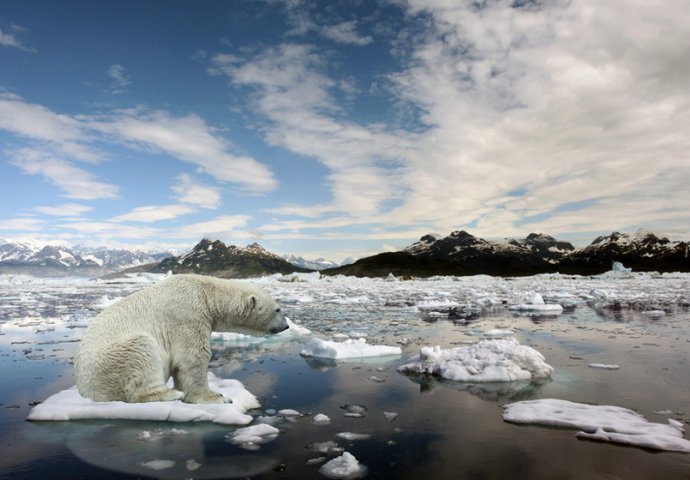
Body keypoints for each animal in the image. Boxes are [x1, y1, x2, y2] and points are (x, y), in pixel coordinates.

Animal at [74, 274, 288, 404]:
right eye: (278, 309)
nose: (286, 326)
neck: (206, 293)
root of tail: (85, 392)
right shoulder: (188, 315)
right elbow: (192, 359)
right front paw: (218, 397)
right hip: (111, 361)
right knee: (141, 349)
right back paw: (169, 394)